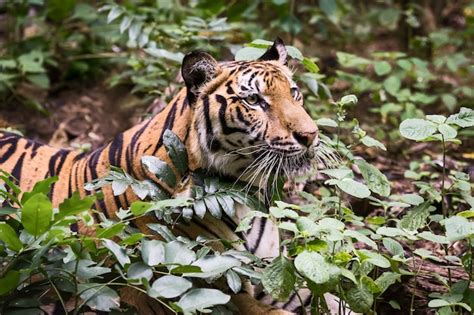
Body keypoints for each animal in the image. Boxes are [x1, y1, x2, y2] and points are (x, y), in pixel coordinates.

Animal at [0, 38, 340, 314]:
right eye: (254, 100)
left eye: (294, 93)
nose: (311, 135)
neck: (246, 193)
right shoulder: (220, 285)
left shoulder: (272, 272)